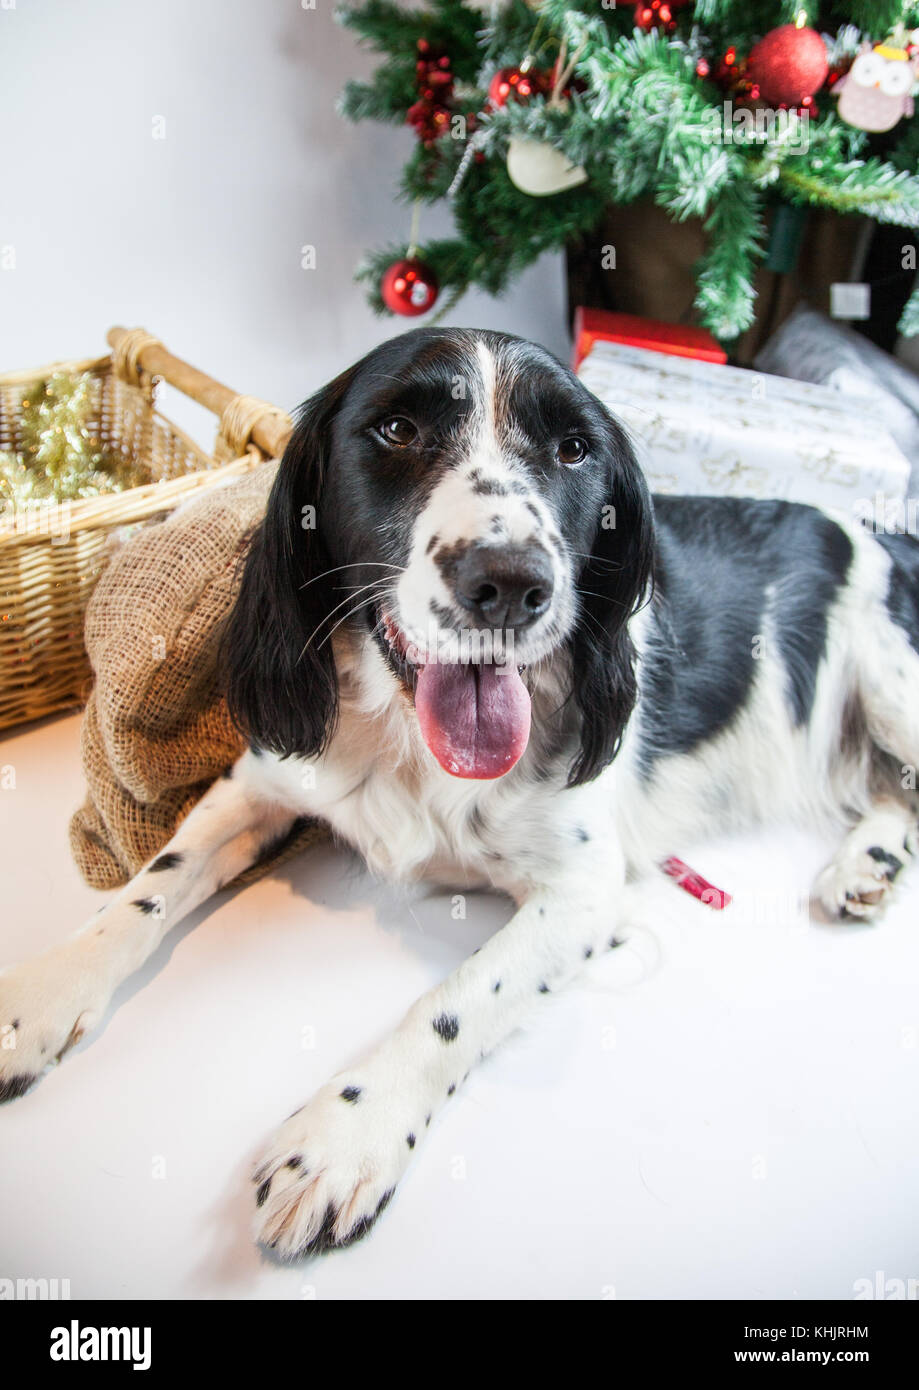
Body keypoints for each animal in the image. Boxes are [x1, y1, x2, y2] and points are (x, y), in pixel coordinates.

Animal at [1, 328, 917, 1262]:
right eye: (398, 429)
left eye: (573, 449)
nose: (511, 584)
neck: (409, 737)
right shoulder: (260, 782)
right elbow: (146, 888)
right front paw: (36, 999)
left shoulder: (582, 892)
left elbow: (455, 1000)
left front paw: (347, 1134)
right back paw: (867, 864)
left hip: (891, 682)